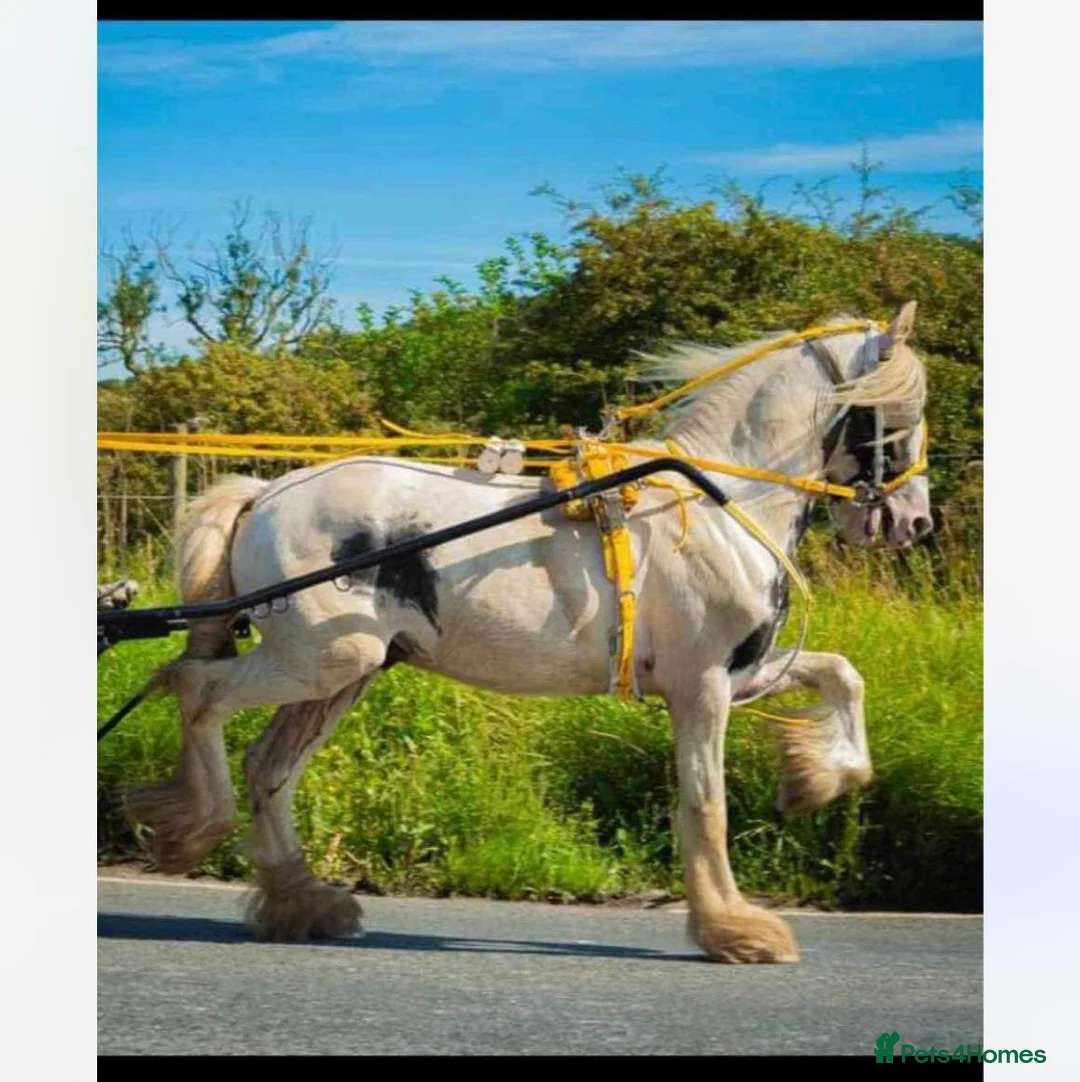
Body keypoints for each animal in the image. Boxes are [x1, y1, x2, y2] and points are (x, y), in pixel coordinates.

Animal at [125, 302, 931, 963]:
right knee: (195, 691)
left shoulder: (743, 672)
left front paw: (815, 781)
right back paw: (198, 827)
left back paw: (303, 901)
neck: (714, 501)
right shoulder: (700, 685)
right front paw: (734, 930)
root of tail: (265, 494)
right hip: (320, 661)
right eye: (901, 412)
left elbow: (842, 674)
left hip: (342, 672)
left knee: (268, 767)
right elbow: (707, 805)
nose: (914, 523)